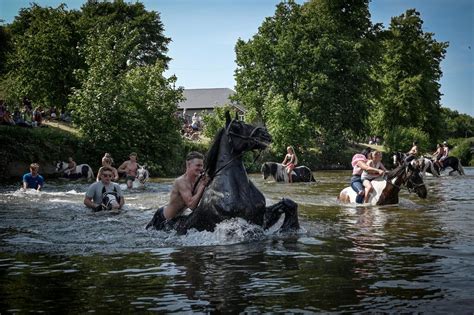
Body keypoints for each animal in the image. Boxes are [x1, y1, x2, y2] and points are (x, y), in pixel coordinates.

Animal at [146, 113, 298, 235]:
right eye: (236, 127)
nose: (265, 135)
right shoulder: (232, 221)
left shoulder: (260, 215)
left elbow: (289, 204)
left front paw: (289, 228)